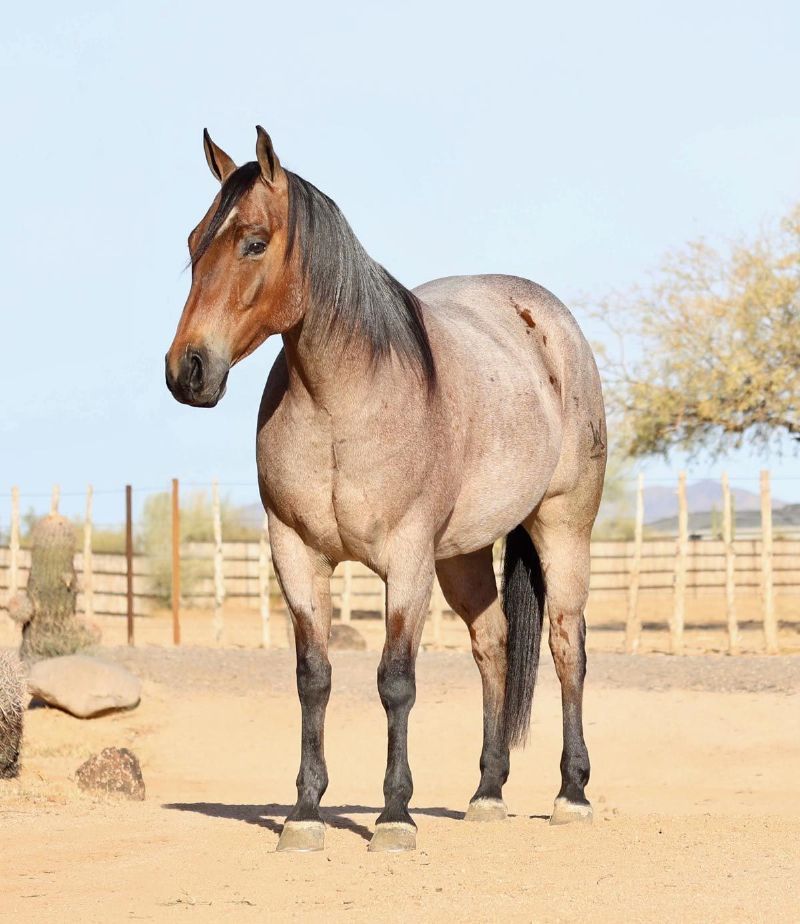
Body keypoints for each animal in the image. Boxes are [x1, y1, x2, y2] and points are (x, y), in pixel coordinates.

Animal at [165, 127, 606, 853]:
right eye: (195, 241)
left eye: (253, 241)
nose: (187, 370)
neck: (341, 401)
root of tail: (548, 322)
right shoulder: (295, 552)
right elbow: (313, 679)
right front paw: (305, 815)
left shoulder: (406, 559)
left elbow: (396, 681)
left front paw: (394, 815)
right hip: (461, 555)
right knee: (493, 644)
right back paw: (487, 793)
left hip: (563, 527)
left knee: (568, 646)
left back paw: (572, 792)